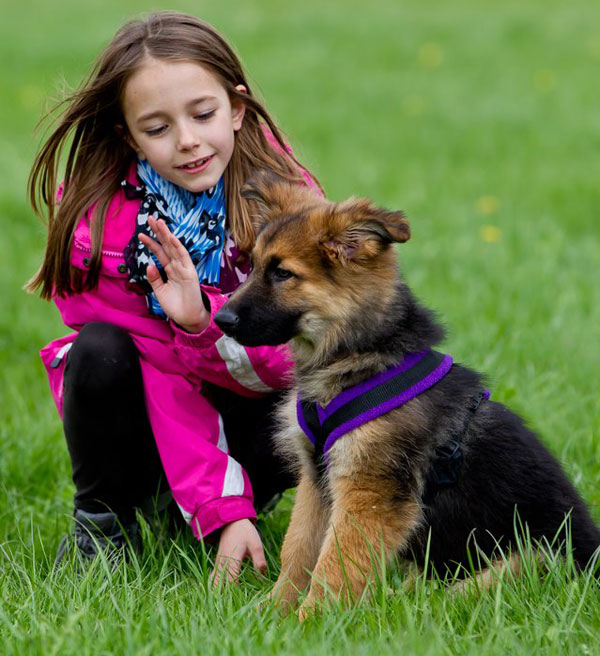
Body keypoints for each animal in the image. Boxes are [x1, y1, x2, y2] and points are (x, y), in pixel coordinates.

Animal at [213, 174, 596, 616]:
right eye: (253, 266)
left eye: (282, 273)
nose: (219, 319)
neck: (360, 355)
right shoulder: (317, 477)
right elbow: (299, 549)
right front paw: (272, 611)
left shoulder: (370, 493)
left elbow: (335, 562)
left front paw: (309, 619)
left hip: (532, 561)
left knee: (453, 596)